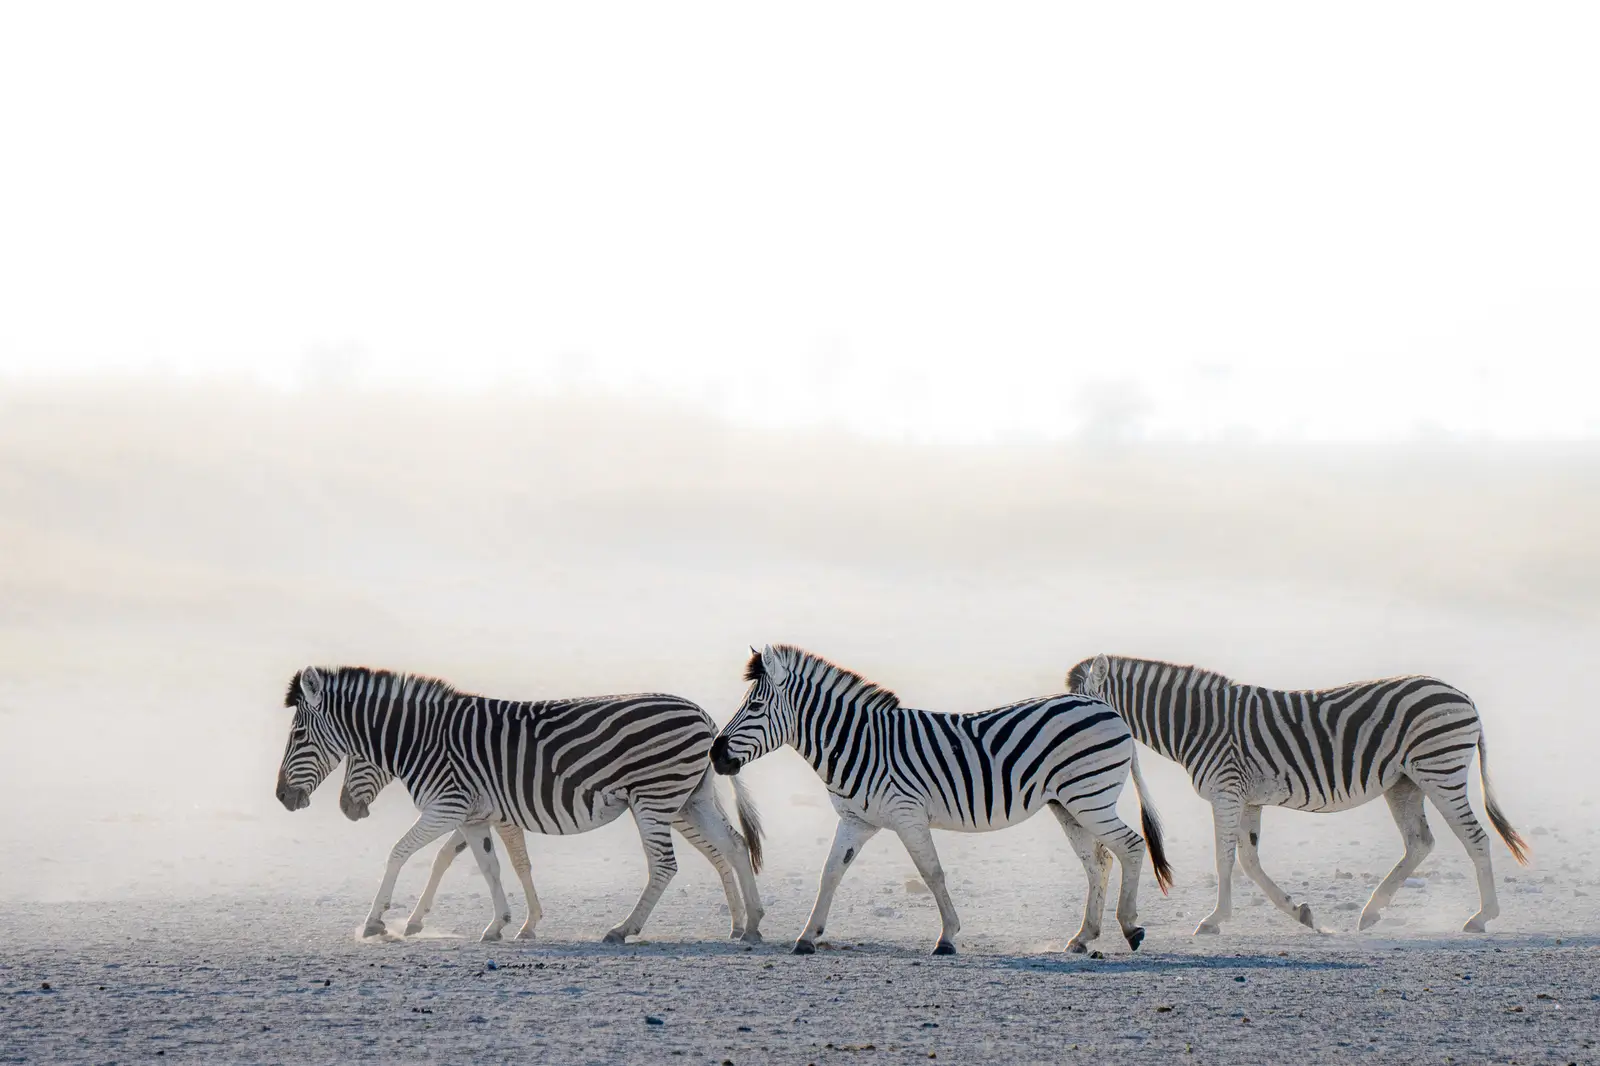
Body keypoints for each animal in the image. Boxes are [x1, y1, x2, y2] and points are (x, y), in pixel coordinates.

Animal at [275, 665, 766, 943]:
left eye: (298, 736)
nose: (282, 797)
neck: (424, 740)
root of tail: (703, 715)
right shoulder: (475, 816)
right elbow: (494, 866)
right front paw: (502, 925)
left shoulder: (447, 807)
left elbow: (400, 852)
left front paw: (377, 923)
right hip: (690, 798)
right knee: (735, 846)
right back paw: (751, 925)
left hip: (655, 798)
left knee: (665, 866)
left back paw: (624, 929)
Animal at [711, 644, 1172, 956]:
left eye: (755, 706)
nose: (715, 755)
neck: (859, 743)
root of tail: (1095, 700)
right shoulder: (856, 820)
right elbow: (830, 874)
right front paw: (807, 936)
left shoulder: (907, 814)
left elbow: (932, 873)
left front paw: (947, 937)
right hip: (1068, 805)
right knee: (1099, 861)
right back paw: (1082, 937)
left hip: (1089, 797)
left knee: (1131, 846)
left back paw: (1130, 928)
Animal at [1066, 654, 1530, 934]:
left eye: (1084, 707)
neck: (1195, 723)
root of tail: (1462, 695)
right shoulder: (1247, 798)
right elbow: (1249, 861)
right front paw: (1300, 913)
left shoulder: (1227, 792)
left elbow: (1224, 859)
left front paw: (1214, 919)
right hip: (1404, 783)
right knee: (1420, 843)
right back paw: (1372, 911)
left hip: (1439, 770)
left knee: (1475, 837)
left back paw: (1482, 917)